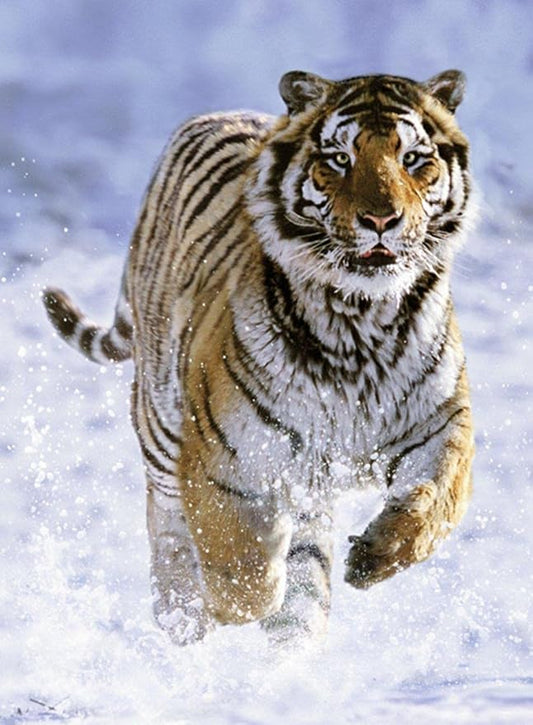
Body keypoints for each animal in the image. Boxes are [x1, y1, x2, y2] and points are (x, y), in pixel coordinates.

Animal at [43, 69, 475, 646]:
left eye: (412, 159)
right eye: (340, 159)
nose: (382, 219)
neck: (359, 321)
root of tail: (215, 114)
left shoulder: (441, 423)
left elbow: (438, 500)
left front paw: (375, 556)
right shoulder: (222, 458)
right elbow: (242, 575)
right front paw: (225, 603)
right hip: (161, 428)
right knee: (168, 529)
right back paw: (182, 617)